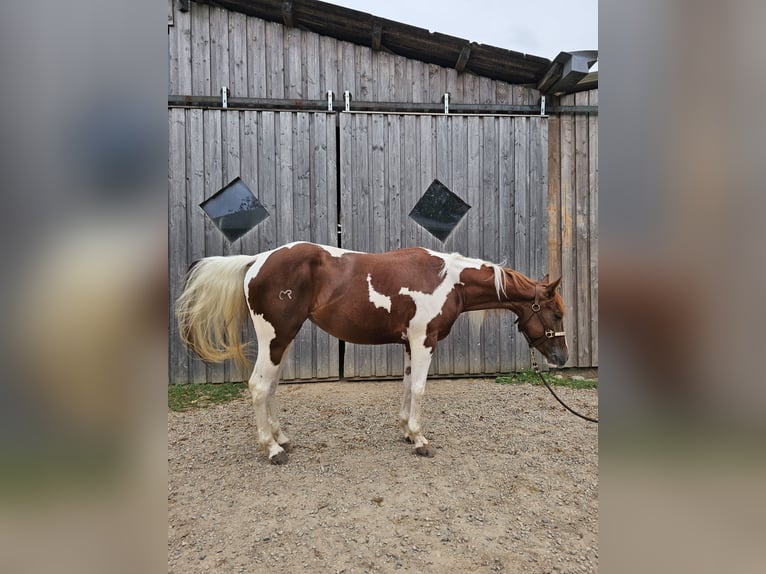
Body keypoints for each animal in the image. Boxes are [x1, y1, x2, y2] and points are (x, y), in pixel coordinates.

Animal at [176, 241, 568, 466]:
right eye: (557, 314)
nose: (562, 358)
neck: (449, 280)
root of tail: (256, 260)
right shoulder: (425, 340)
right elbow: (420, 389)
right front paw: (420, 440)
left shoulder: (410, 343)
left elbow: (407, 387)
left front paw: (406, 431)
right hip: (275, 337)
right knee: (259, 386)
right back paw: (271, 450)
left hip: (282, 340)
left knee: (269, 387)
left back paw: (281, 438)